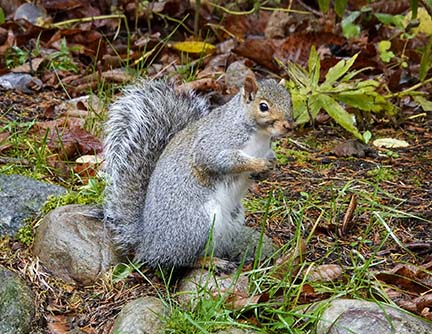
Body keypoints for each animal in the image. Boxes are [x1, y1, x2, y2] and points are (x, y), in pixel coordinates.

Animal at [104, 75, 294, 268]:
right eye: (263, 106)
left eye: (290, 101)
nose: (288, 126)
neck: (260, 135)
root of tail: (148, 244)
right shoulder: (213, 143)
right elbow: (219, 160)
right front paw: (258, 164)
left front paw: (270, 168)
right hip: (198, 224)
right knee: (183, 261)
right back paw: (211, 262)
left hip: (233, 219)